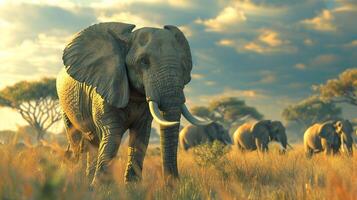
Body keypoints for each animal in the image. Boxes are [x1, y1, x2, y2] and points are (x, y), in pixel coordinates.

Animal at [56, 21, 211, 186]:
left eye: (183, 64)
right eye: (144, 61)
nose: (172, 184)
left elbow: (140, 137)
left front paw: (132, 187)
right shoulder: (106, 88)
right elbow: (112, 134)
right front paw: (100, 187)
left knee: (91, 141)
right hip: (65, 106)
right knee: (78, 140)